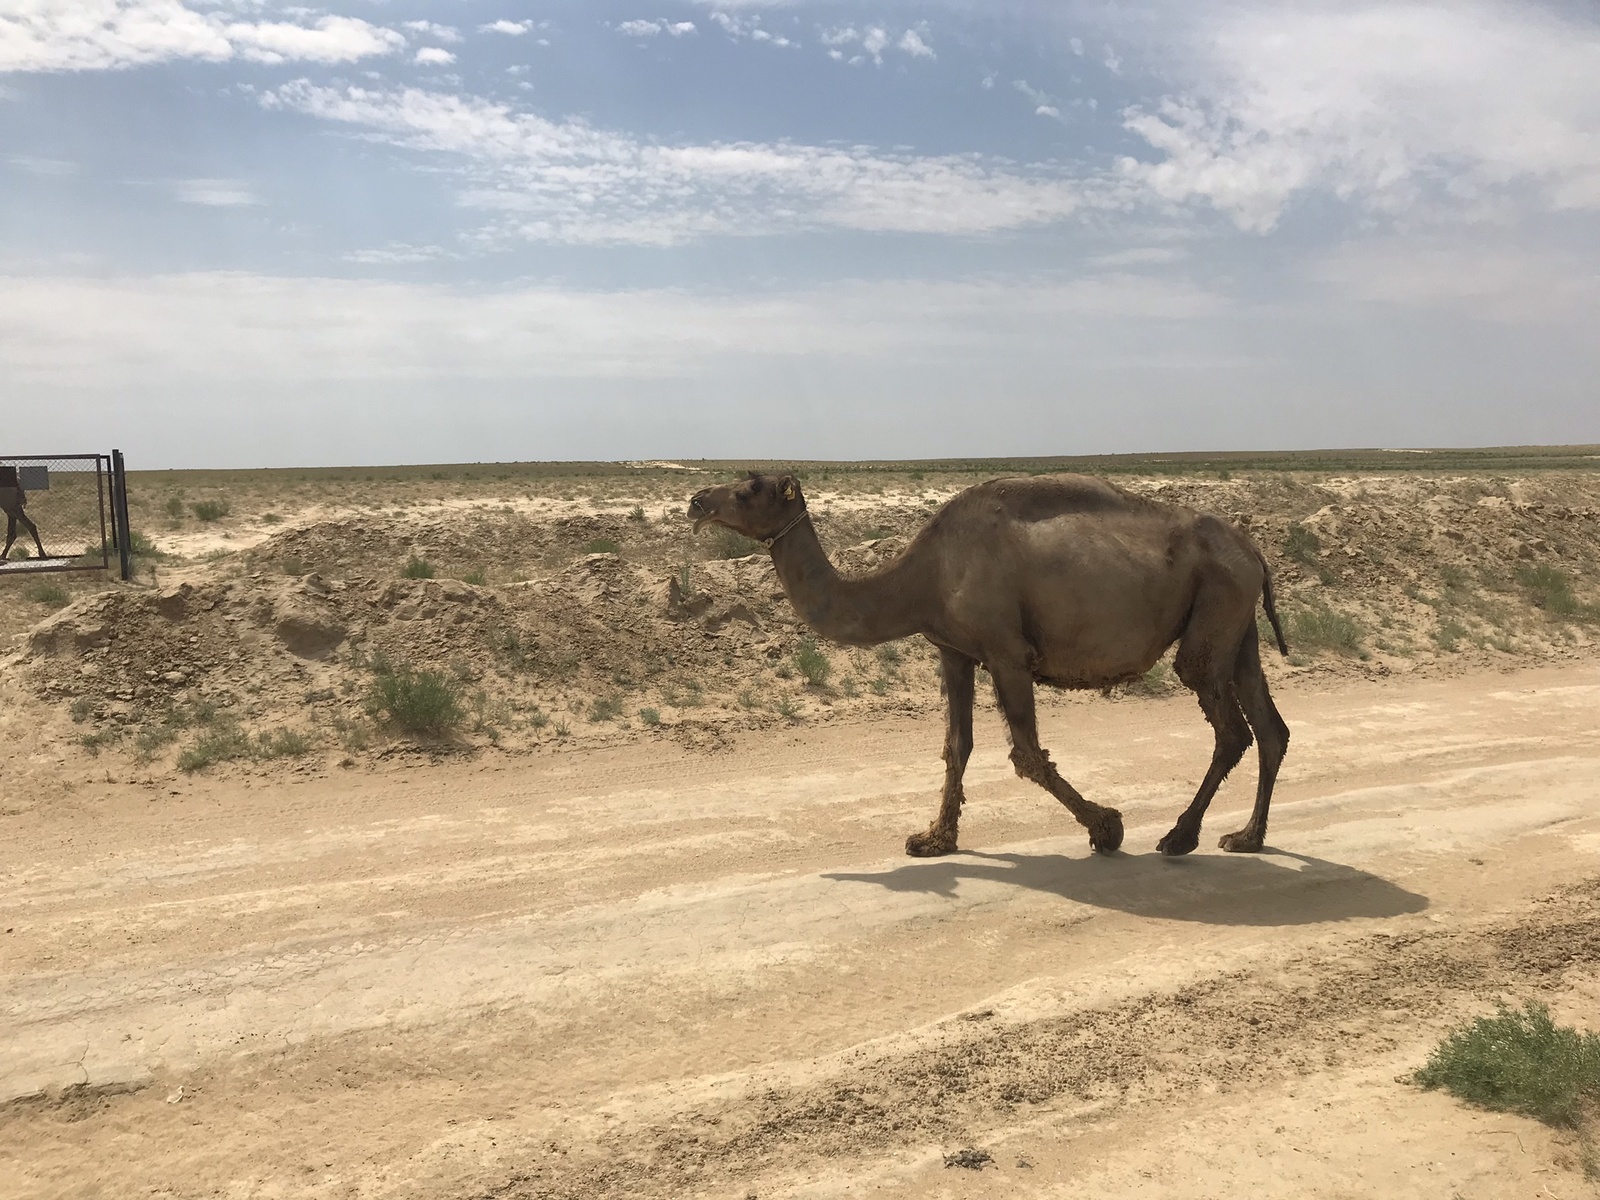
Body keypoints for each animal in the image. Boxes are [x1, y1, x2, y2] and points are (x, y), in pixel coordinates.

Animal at [688, 473, 1286, 857]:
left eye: (748, 489)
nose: (695, 501)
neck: (922, 579)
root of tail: (1254, 551)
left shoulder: (1006, 653)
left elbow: (1026, 754)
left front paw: (1107, 828)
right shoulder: (953, 651)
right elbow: (957, 746)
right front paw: (933, 839)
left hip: (1214, 612)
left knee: (1230, 726)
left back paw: (1181, 837)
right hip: (1236, 621)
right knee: (1268, 725)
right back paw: (1247, 837)